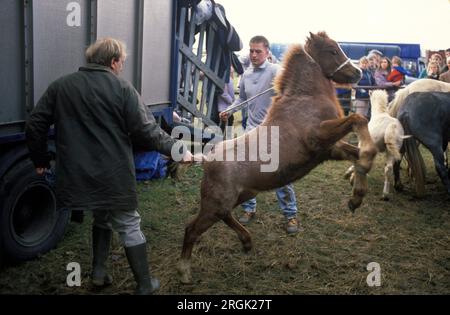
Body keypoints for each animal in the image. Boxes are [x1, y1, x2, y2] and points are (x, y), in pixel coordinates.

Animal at [178, 32, 378, 286]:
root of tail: (205, 158)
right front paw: (360, 178)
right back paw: (185, 272)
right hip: (215, 202)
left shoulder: (328, 149)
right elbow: (358, 120)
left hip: (239, 196)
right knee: (191, 229)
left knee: (225, 216)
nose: (358, 73)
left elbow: (358, 154)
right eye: (332, 50)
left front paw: (356, 197)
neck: (305, 100)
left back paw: (247, 242)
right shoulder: (318, 137)